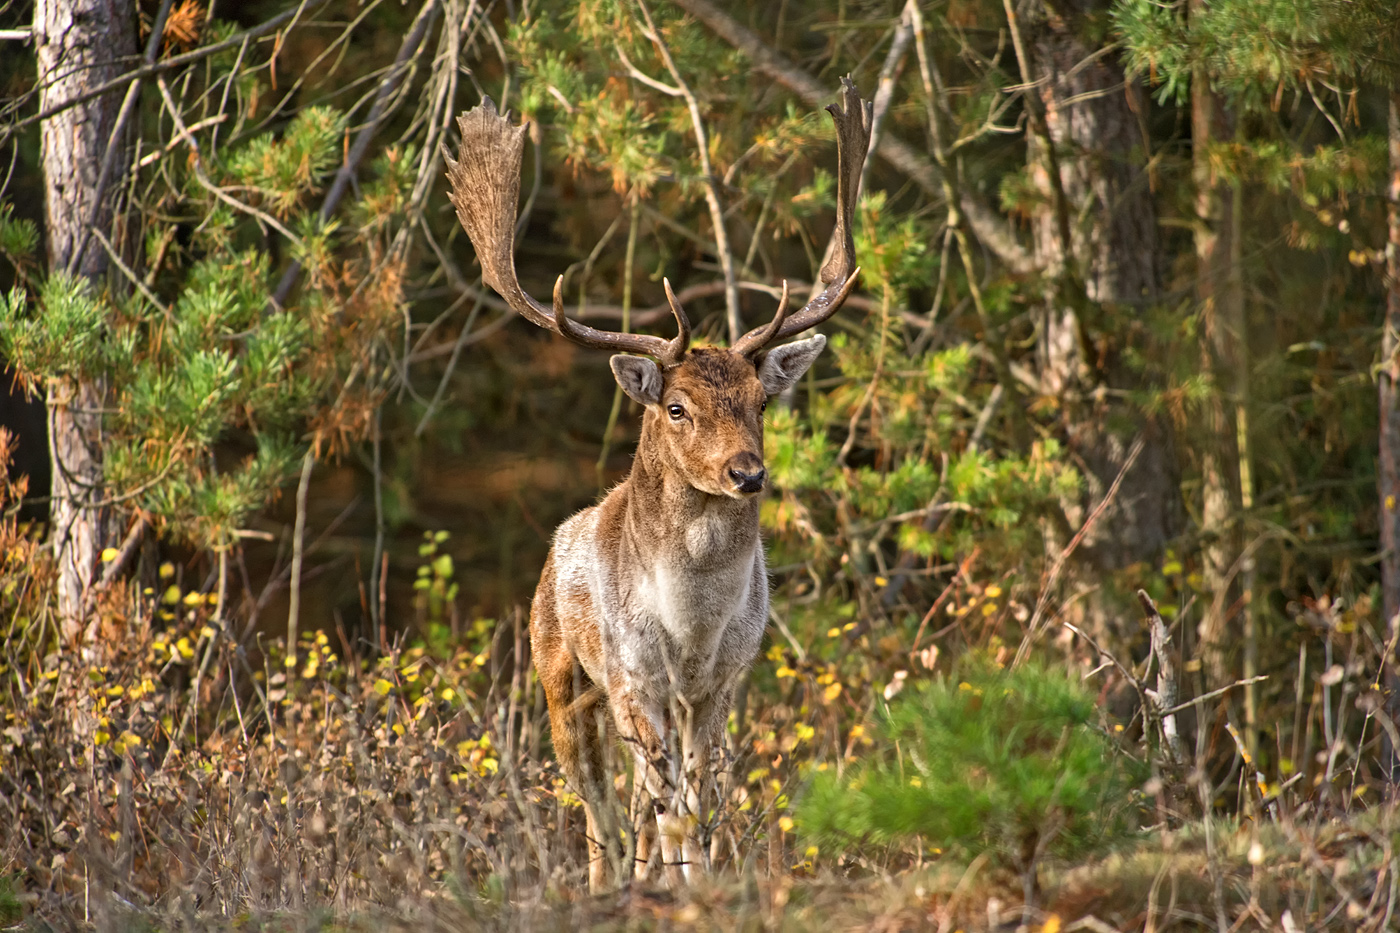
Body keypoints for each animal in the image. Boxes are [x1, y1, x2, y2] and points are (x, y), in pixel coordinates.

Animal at [445, 76, 862, 885]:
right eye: (677, 407)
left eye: (761, 401)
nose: (747, 472)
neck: (691, 627)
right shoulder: (635, 677)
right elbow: (669, 809)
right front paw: (678, 884)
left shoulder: (723, 680)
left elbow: (700, 803)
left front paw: (703, 880)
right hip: (561, 679)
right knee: (598, 813)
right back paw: (608, 882)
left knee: (635, 806)